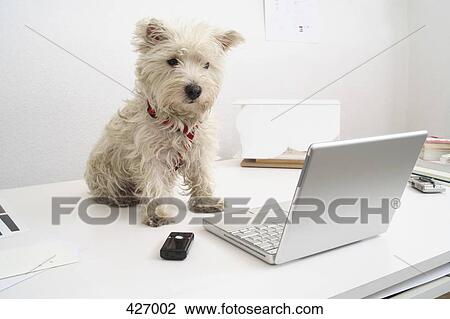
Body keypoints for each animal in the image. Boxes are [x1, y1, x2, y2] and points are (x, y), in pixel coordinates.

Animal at [85, 18, 244, 228]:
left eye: (207, 65)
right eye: (172, 61)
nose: (194, 90)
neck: (180, 121)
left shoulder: (200, 150)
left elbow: (202, 175)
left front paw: (205, 201)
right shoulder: (151, 155)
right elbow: (155, 183)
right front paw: (158, 213)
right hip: (104, 171)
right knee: (106, 191)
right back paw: (122, 198)